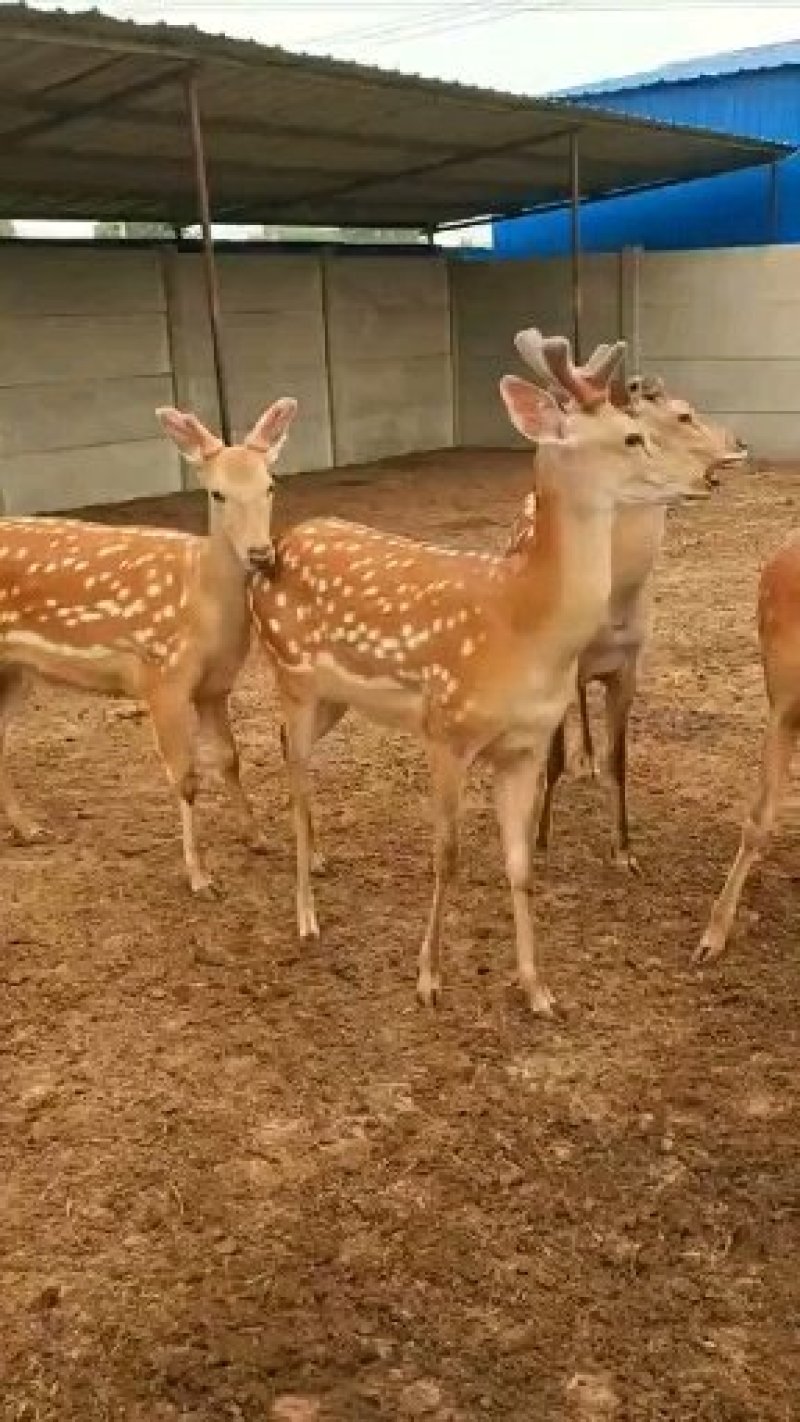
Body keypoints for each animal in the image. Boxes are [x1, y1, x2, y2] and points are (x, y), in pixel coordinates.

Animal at [0, 396, 297, 895]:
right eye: (217, 493)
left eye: (271, 485)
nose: (260, 553)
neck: (203, 604)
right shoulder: (163, 676)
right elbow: (186, 777)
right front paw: (200, 877)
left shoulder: (216, 685)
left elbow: (230, 758)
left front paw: (258, 838)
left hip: (18, 670)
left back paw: (30, 828)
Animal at [249, 331, 709, 1017]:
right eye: (633, 436)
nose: (704, 477)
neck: (523, 625)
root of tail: (271, 552)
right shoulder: (447, 729)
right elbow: (448, 855)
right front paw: (429, 979)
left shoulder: (521, 747)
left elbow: (518, 864)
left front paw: (538, 990)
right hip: (292, 674)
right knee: (298, 771)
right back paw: (307, 916)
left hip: (334, 698)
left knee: (287, 752)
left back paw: (322, 862)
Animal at [513, 337, 748, 872]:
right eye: (683, 414)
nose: (740, 444)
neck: (613, 608)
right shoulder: (561, 660)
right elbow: (552, 758)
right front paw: (542, 839)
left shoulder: (629, 664)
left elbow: (621, 760)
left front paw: (624, 850)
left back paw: (588, 760)